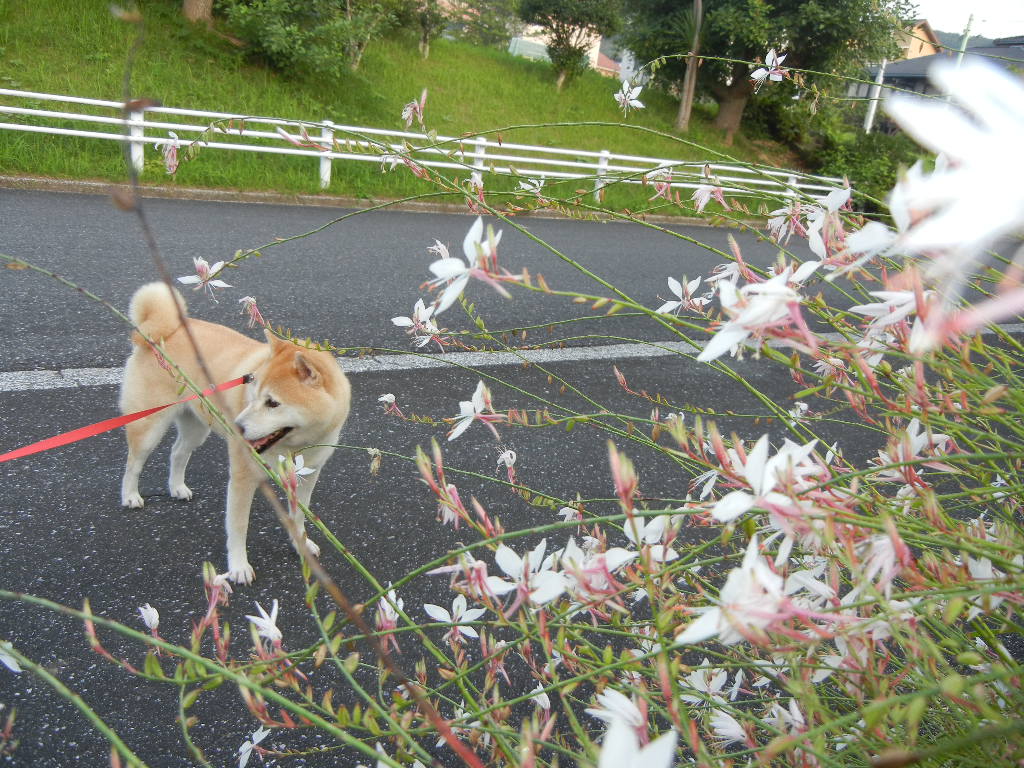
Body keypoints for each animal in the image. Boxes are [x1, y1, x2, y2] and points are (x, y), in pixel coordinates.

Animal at [118, 282, 352, 581]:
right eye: (253, 393)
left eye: (272, 402)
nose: (236, 427)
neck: (292, 446)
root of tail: (160, 331)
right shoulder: (243, 478)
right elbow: (238, 526)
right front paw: (239, 567)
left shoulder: (308, 475)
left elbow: (299, 515)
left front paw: (301, 544)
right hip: (149, 425)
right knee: (133, 462)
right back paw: (130, 496)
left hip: (197, 427)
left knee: (177, 452)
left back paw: (177, 487)